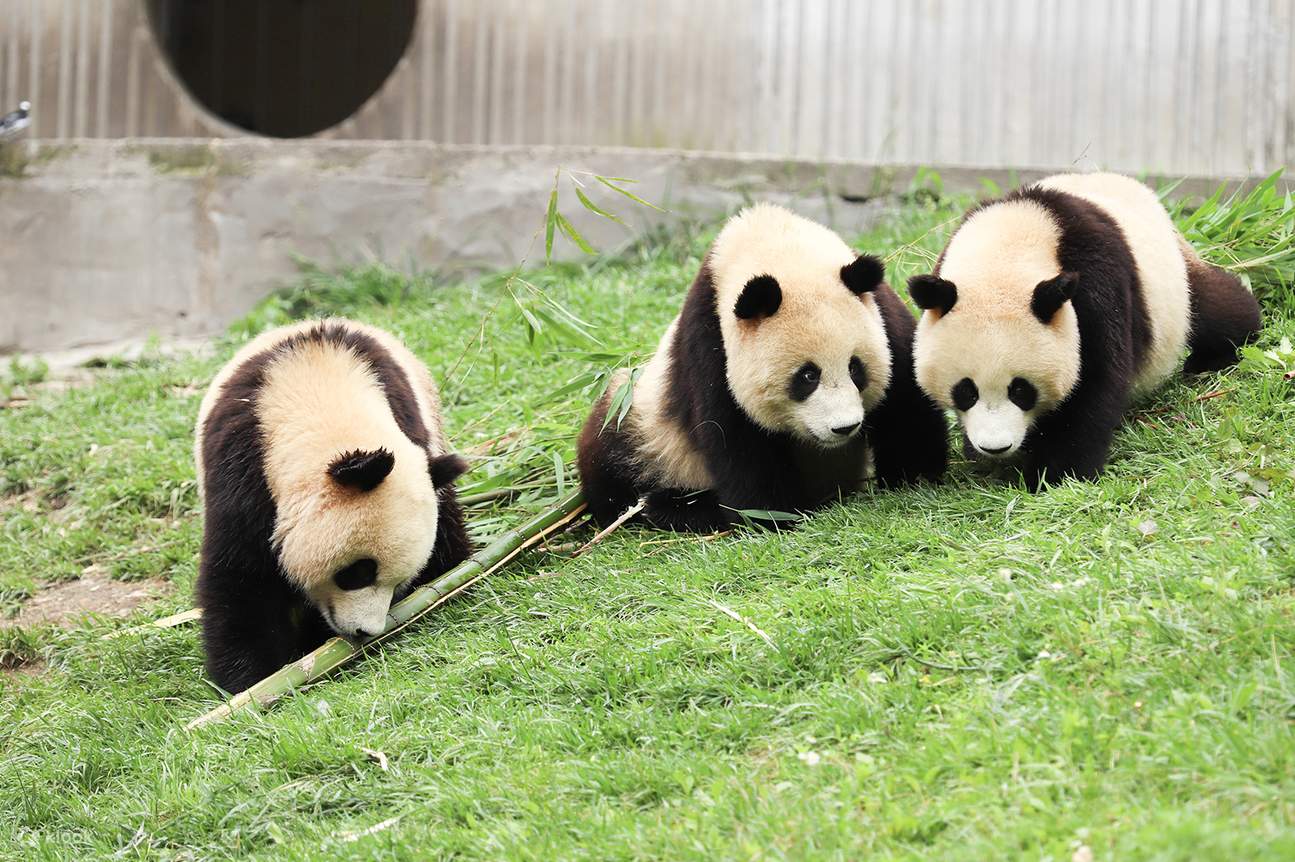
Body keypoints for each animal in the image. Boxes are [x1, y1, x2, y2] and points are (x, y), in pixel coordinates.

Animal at [194, 319, 471, 693]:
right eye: (357, 573)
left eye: (400, 582)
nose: (365, 631)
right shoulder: (240, 469)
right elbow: (242, 578)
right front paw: (255, 679)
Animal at [577, 203, 948, 531]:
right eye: (807, 376)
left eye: (856, 368)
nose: (844, 428)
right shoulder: (710, 344)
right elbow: (735, 436)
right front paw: (774, 513)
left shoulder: (881, 314)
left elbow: (905, 401)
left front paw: (914, 475)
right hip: (645, 423)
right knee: (610, 458)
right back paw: (673, 507)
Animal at [908, 172, 1261, 489]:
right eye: (966, 391)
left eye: (1021, 390)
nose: (996, 447)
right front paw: (977, 452)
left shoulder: (1095, 284)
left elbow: (1094, 382)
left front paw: (1057, 473)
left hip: (1172, 283)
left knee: (1213, 307)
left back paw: (1221, 350)